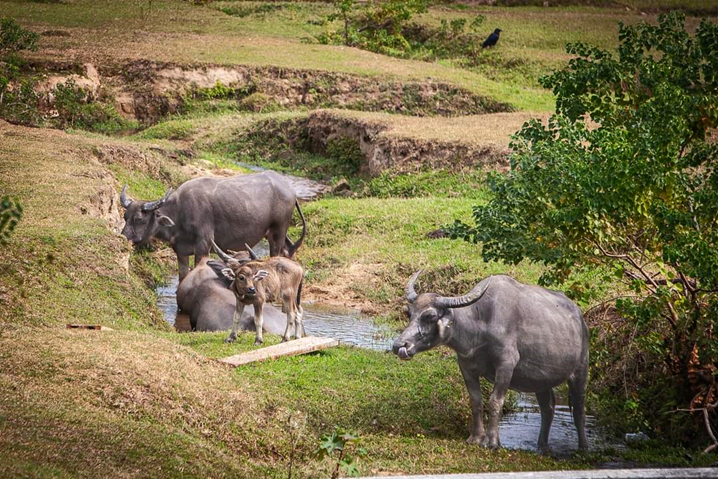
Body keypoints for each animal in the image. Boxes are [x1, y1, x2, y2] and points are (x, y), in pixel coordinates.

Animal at [119, 171, 306, 282]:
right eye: (125, 217)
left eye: (140, 219)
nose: (123, 237)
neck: (180, 212)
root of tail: (290, 190)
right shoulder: (181, 251)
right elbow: (182, 277)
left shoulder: (203, 246)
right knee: (288, 250)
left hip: (278, 231)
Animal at [394, 272, 592, 452]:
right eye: (409, 313)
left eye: (430, 316)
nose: (399, 345)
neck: (480, 326)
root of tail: (581, 320)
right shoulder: (466, 366)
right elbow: (476, 400)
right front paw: (475, 437)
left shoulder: (506, 365)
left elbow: (495, 401)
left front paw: (492, 442)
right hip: (541, 381)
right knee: (548, 408)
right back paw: (541, 445)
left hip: (580, 370)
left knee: (579, 409)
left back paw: (583, 448)